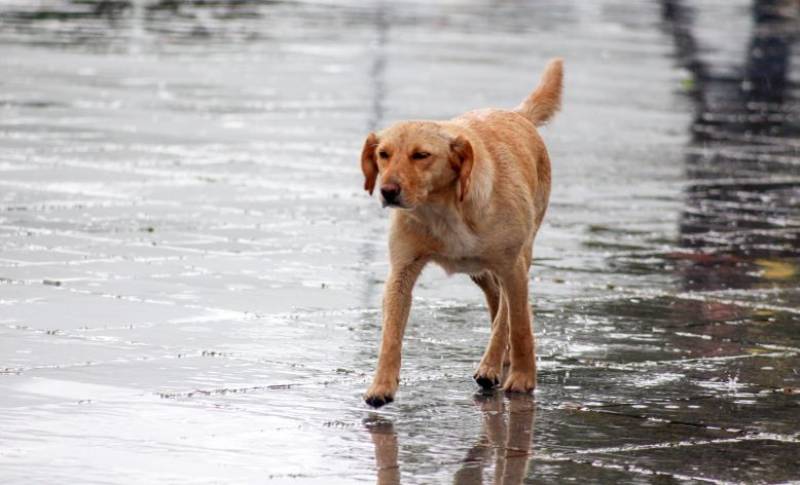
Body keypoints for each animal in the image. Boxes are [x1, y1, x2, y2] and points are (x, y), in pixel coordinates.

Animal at [360, 58, 563, 407]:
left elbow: (519, 324)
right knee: (496, 298)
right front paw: (382, 385)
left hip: (518, 257)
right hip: (478, 269)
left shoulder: (512, 267)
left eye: (421, 155)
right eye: (383, 154)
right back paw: (498, 360)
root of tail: (518, 115)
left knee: (508, 313)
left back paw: (495, 364)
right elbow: (391, 335)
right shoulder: (401, 272)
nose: (387, 191)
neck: (443, 209)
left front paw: (524, 379)